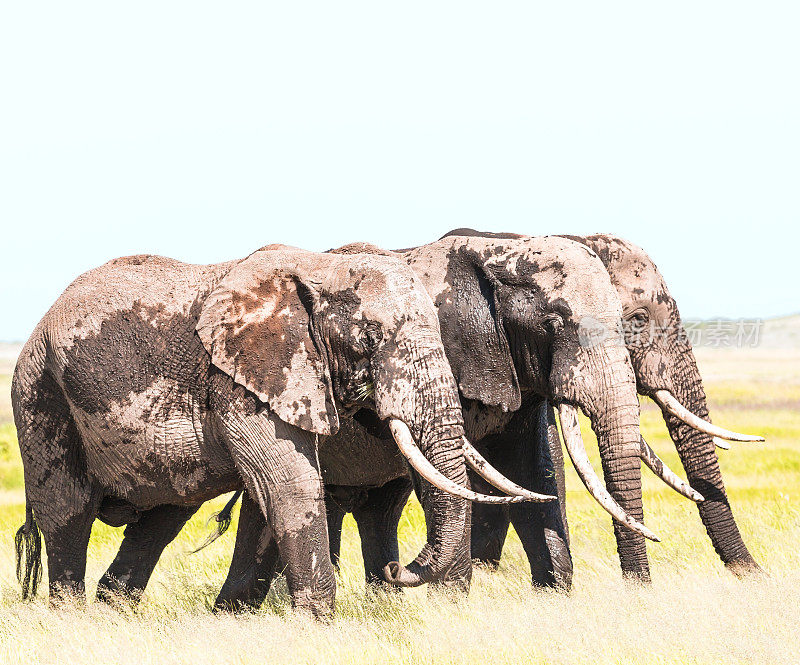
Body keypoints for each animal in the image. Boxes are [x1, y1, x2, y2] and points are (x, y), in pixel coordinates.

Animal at [10, 244, 536, 616]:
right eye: (369, 338)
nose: (395, 569)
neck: (319, 269)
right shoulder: (242, 377)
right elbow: (288, 485)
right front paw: (316, 626)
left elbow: (271, 496)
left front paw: (237, 618)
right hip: (40, 398)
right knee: (68, 516)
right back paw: (70, 619)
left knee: (162, 518)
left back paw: (113, 612)